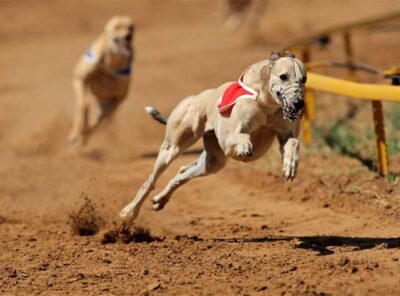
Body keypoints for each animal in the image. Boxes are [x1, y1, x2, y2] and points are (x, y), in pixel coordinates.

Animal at [66, 15, 134, 147]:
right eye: (117, 26)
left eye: (131, 27)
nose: (128, 36)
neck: (109, 64)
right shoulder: (79, 79)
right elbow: (84, 105)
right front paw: (77, 134)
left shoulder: (119, 97)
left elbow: (101, 120)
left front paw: (83, 136)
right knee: (84, 113)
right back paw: (76, 134)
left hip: (105, 105)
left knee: (100, 122)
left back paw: (83, 137)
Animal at [119, 51, 306, 220]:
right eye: (283, 76)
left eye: (304, 79)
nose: (299, 104)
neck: (267, 102)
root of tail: (196, 97)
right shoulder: (229, 141)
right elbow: (242, 136)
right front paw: (245, 145)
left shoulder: (285, 134)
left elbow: (293, 143)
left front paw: (290, 164)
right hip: (172, 148)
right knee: (150, 181)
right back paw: (129, 211)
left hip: (213, 162)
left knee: (183, 171)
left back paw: (161, 199)